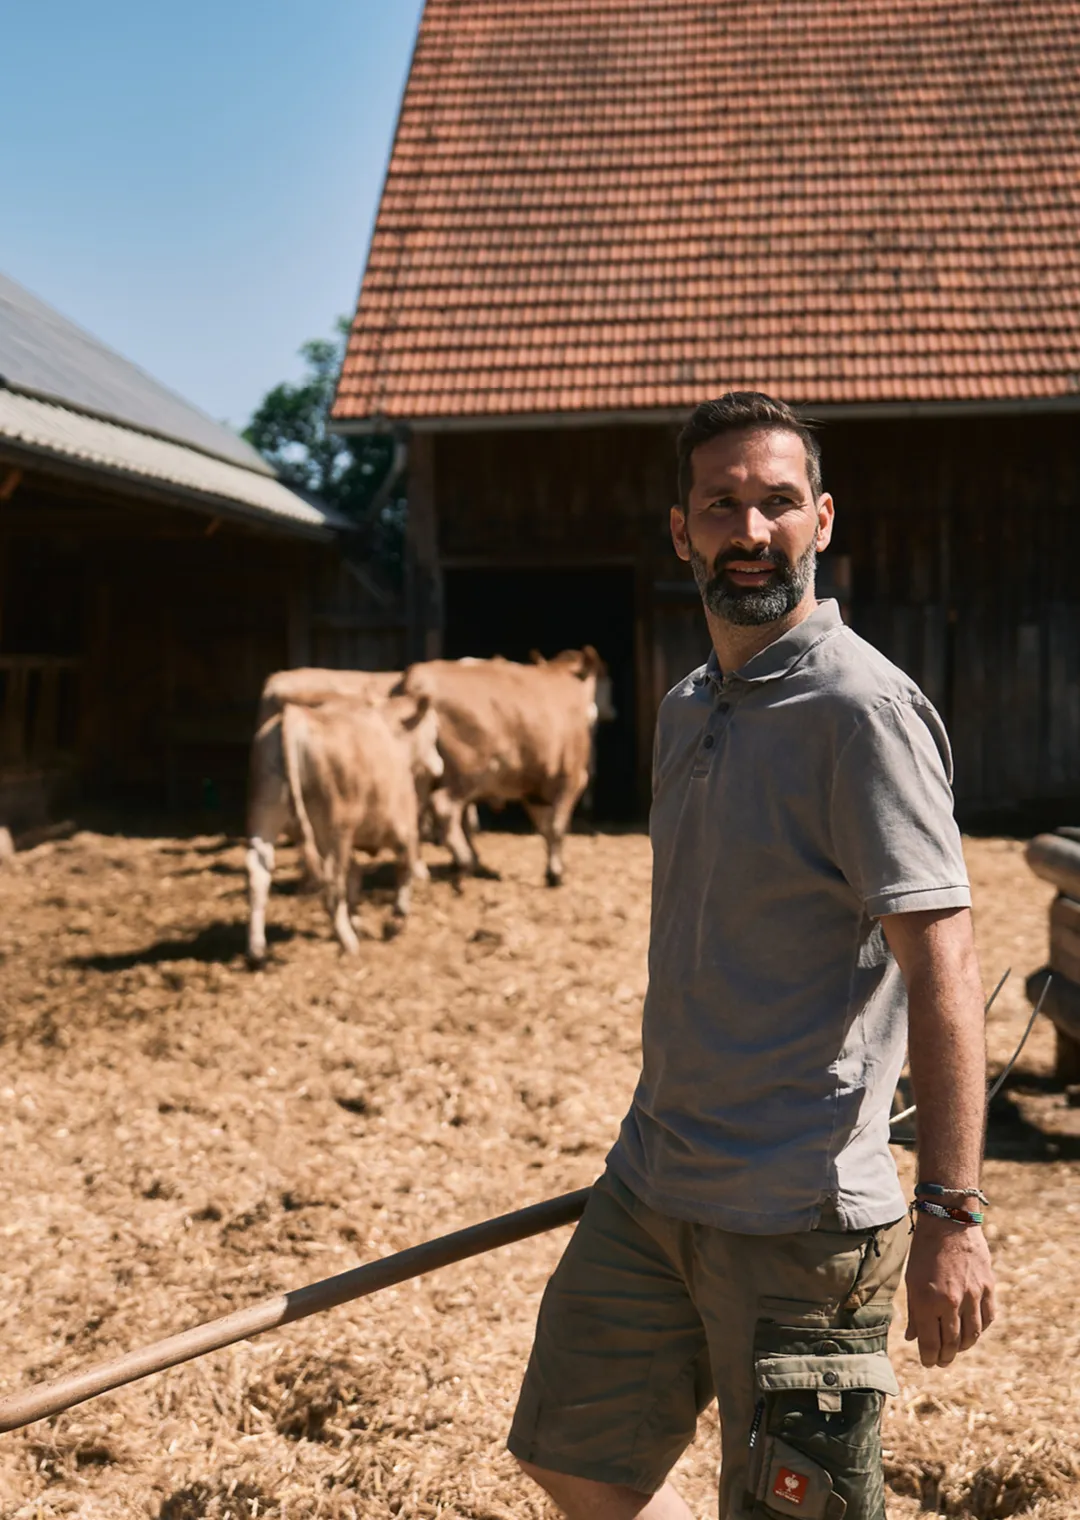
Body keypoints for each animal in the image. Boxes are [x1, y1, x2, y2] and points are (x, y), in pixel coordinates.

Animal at [247, 693, 440, 960]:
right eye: (433, 734)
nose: (440, 766)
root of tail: (296, 714)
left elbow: (355, 875)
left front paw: (357, 918)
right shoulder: (404, 826)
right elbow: (405, 866)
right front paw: (395, 921)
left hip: (266, 816)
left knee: (259, 872)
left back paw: (257, 949)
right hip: (336, 829)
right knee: (332, 880)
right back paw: (347, 941)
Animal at [397, 644, 616, 887]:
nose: (609, 712)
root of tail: (418, 677)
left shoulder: (533, 786)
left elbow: (545, 827)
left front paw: (551, 869)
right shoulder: (573, 777)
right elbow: (557, 827)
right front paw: (556, 873)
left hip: (419, 774)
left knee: (416, 813)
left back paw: (420, 870)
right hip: (467, 771)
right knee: (444, 807)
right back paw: (464, 860)